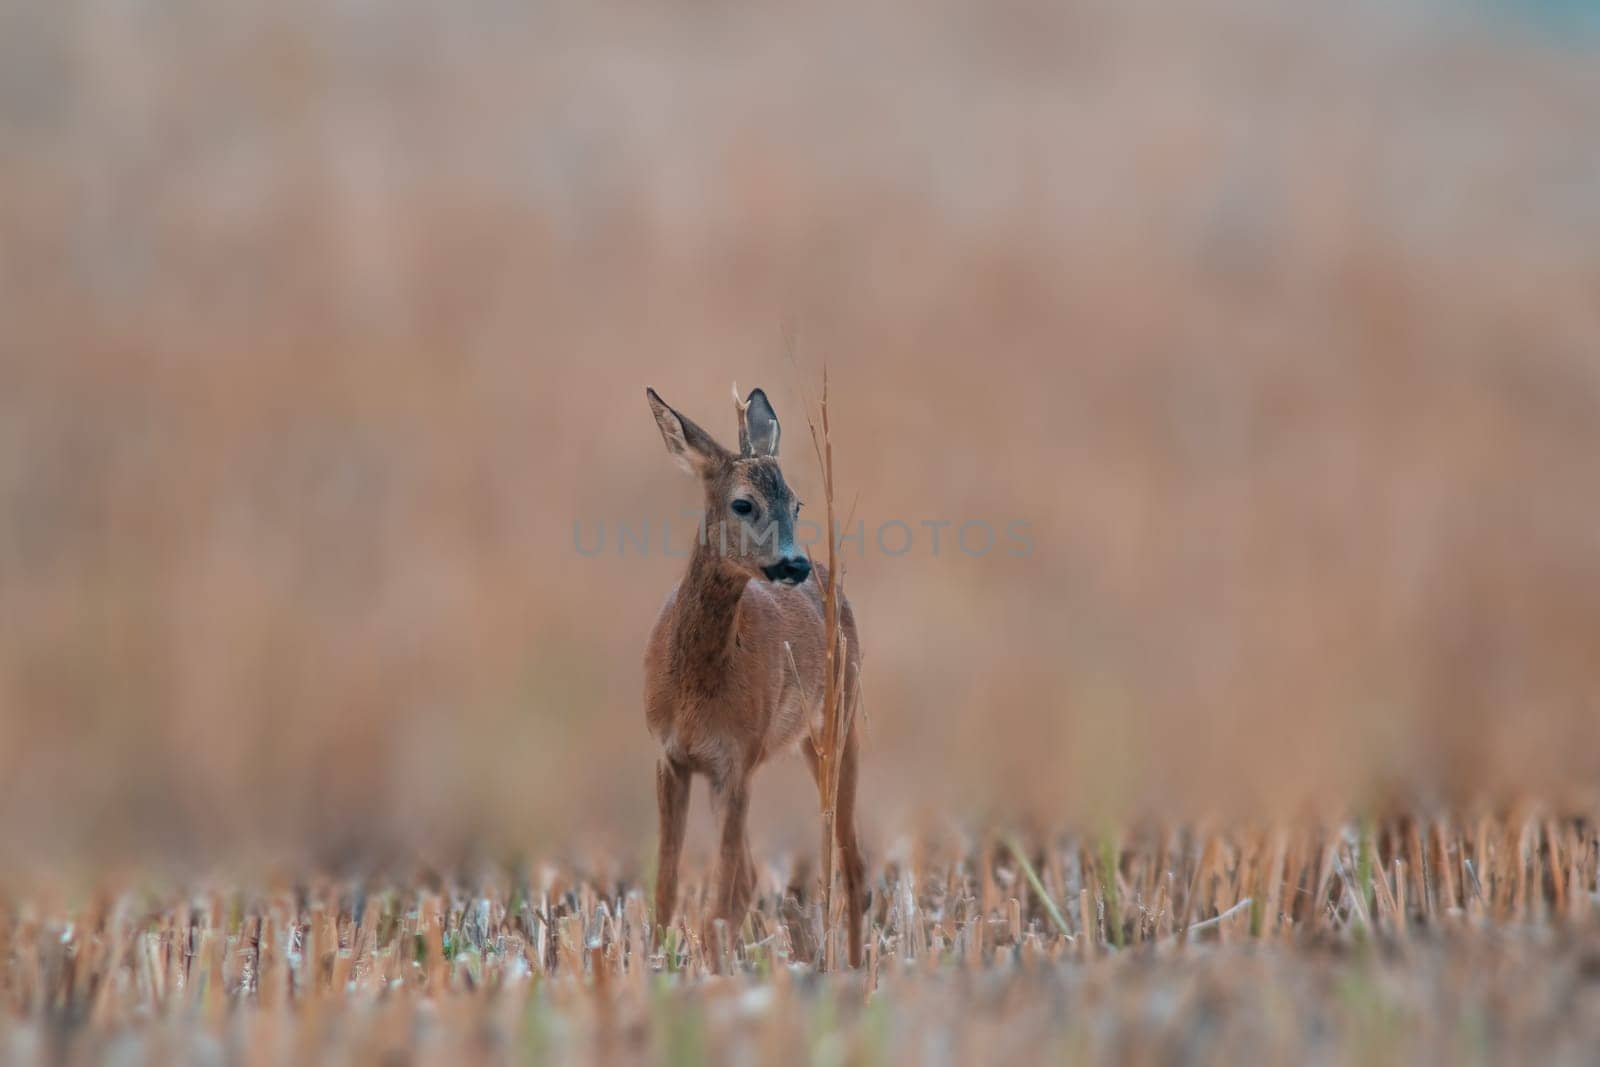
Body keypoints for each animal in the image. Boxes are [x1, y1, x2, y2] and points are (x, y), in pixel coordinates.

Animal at [640, 390, 870, 966]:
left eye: (797, 505)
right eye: (743, 504)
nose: (794, 564)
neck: (695, 690)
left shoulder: (735, 759)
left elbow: (720, 897)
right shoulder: (671, 756)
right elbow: (668, 885)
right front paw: (655, 961)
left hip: (839, 722)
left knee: (852, 866)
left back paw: (856, 968)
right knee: (751, 875)